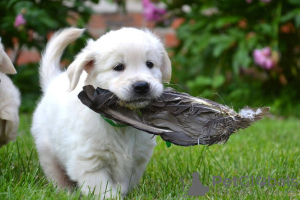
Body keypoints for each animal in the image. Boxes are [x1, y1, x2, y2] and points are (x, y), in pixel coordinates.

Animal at [31, 27, 172, 198]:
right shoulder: (90, 162)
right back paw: (65, 193)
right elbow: (103, 190)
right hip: (47, 150)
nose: (142, 86)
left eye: (150, 64)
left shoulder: (137, 161)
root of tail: (53, 80)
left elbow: (124, 184)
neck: (121, 127)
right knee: (56, 175)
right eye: (118, 67)